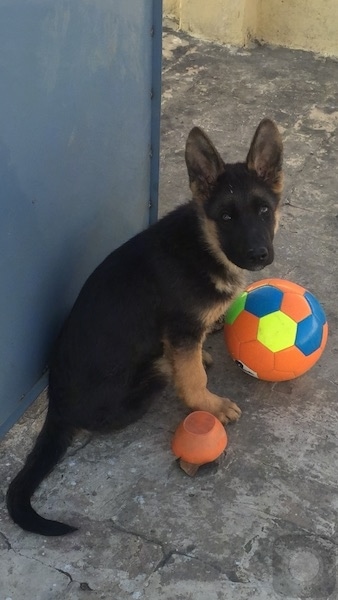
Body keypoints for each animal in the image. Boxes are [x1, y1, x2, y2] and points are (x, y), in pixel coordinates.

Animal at [7, 117, 282, 536]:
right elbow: (192, 379)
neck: (205, 244)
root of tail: (56, 406)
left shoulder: (183, 334)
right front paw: (209, 405)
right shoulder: (181, 327)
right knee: (163, 372)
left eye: (264, 210)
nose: (258, 256)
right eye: (226, 217)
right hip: (150, 378)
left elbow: (193, 358)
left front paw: (203, 356)